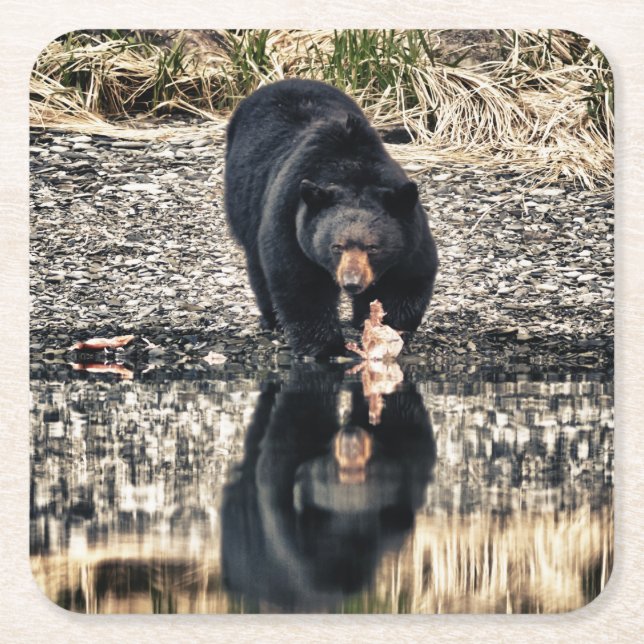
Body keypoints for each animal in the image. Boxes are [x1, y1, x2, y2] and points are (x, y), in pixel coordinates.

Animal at [224, 78, 439, 358]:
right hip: (244, 202)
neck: (352, 168)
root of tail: (286, 81)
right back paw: (272, 319)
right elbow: (301, 284)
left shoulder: (409, 228)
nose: (352, 282)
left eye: (373, 247)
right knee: (257, 261)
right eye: (336, 247)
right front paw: (327, 347)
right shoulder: (291, 217)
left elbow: (407, 278)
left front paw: (387, 331)